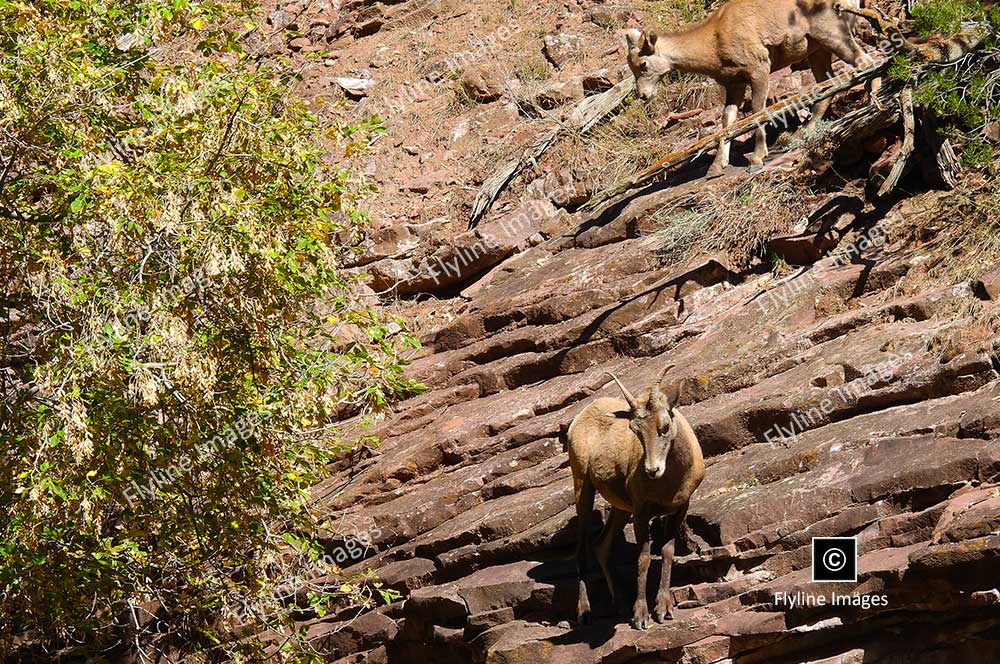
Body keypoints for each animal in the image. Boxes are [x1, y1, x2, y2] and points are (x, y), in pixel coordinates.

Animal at [568, 366, 708, 632]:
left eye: (665, 425)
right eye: (635, 430)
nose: (652, 470)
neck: (670, 482)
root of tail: (579, 418)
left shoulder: (679, 508)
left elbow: (667, 552)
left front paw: (663, 609)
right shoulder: (642, 514)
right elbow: (643, 559)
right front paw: (641, 617)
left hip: (620, 508)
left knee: (601, 545)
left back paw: (620, 603)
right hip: (583, 486)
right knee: (581, 549)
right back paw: (584, 612)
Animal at [628, 0, 872, 176]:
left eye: (643, 64)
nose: (643, 95)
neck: (713, 42)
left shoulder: (759, 69)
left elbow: (757, 111)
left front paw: (756, 159)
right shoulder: (734, 85)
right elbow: (727, 122)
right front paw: (716, 167)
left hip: (833, 36)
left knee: (864, 62)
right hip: (818, 51)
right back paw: (800, 135)